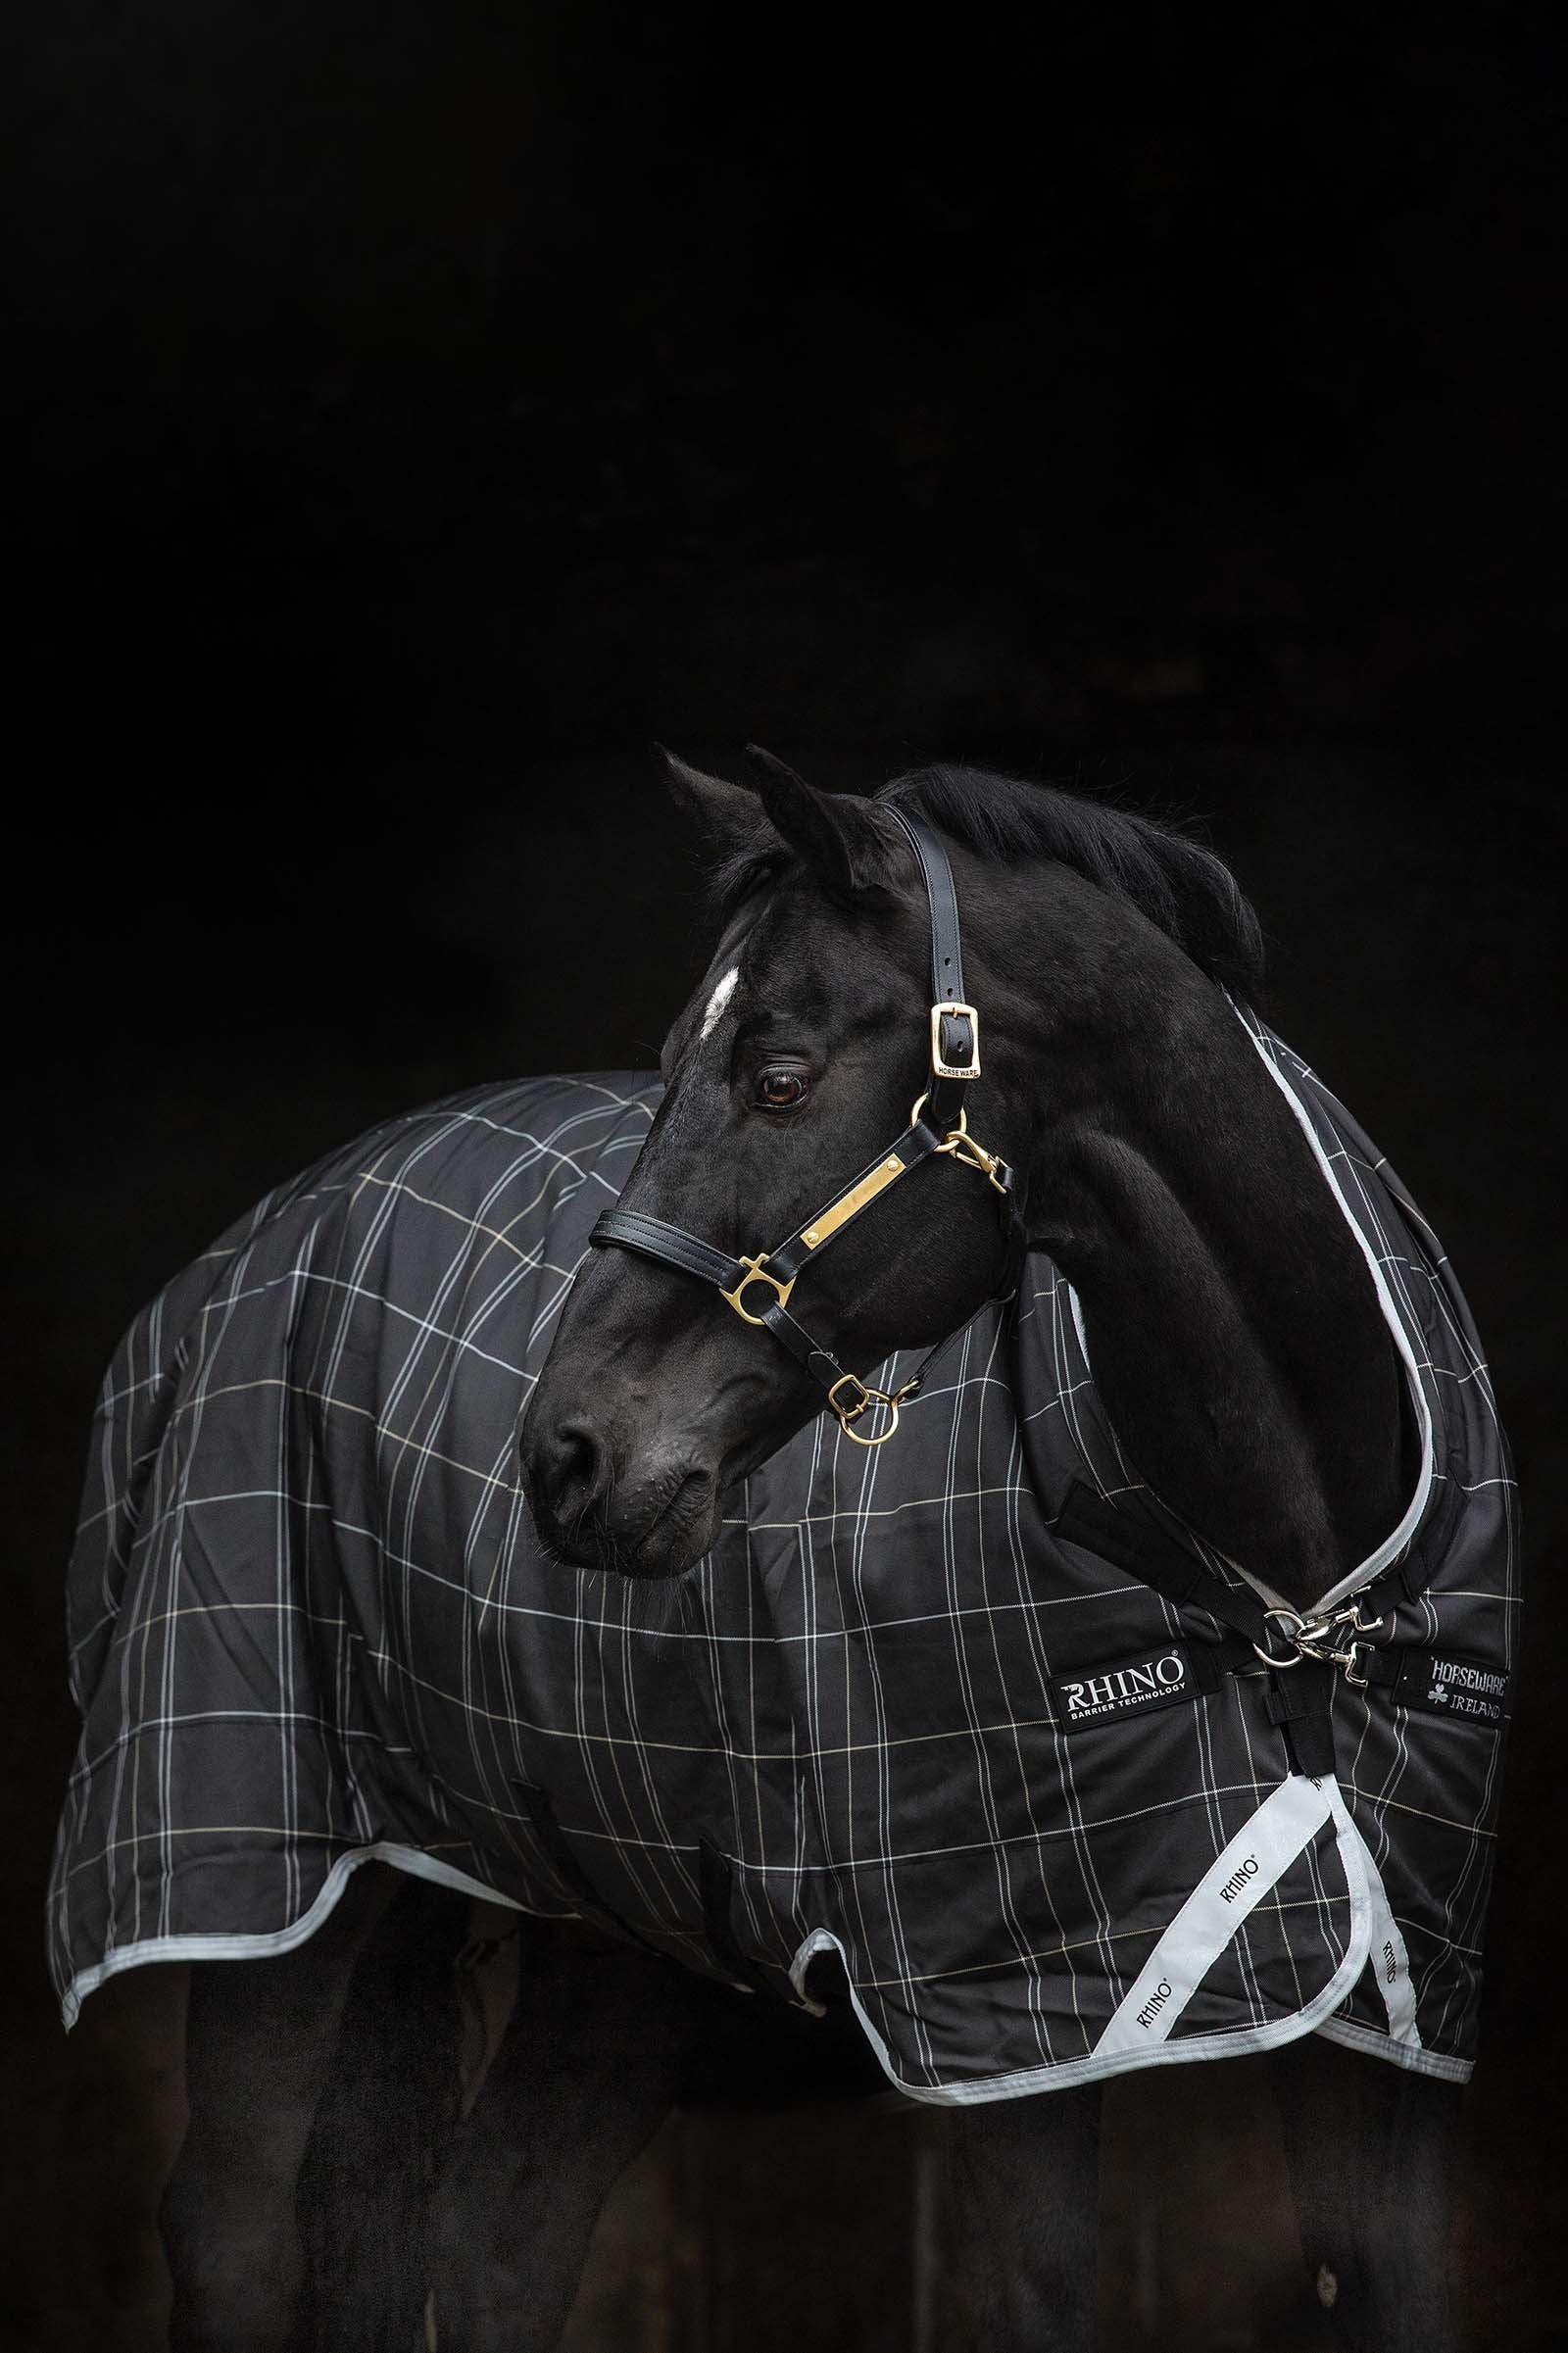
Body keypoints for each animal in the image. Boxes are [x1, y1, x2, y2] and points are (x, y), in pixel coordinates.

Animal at [52, 752, 1514, 2350]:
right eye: (675, 1063)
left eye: (778, 1078)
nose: (567, 1459)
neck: (1283, 1601)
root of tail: (263, 1234)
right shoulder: (1009, 2023)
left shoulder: (1398, 2021)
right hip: (274, 1872)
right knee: (239, 2234)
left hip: (618, 1915)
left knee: (494, 2237)